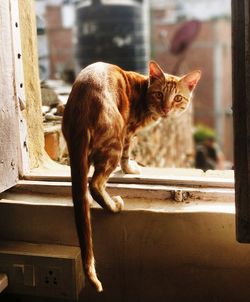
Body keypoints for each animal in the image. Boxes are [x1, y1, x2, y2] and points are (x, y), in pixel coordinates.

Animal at [62, 60, 201, 290]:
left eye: (177, 98)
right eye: (159, 95)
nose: (166, 109)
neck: (144, 94)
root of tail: (81, 107)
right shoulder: (128, 131)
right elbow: (127, 155)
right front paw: (130, 169)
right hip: (115, 138)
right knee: (95, 184)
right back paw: (114, 205)